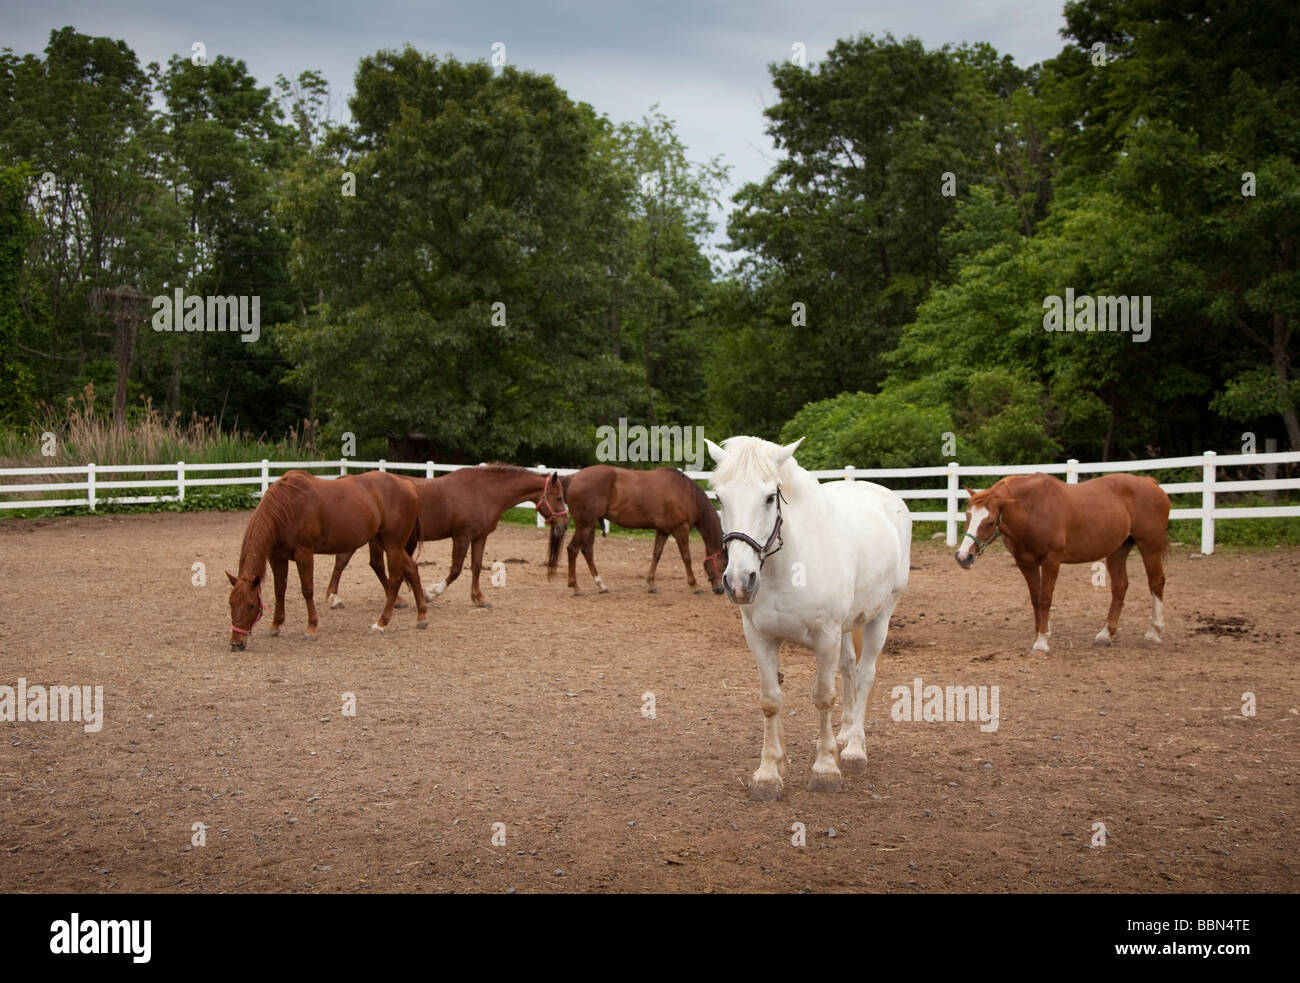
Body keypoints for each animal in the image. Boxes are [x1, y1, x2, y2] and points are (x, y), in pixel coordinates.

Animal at [224, 470, 426, 650]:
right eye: (231, 603)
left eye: (251, 605)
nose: (236, 643)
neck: (287, 506)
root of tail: (408, 486)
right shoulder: (277, 557)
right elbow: (279, 590)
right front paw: (275, 625)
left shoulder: (304, 553)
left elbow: (307, 590)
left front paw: (311, 628)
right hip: (387, 543)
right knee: (412, 569)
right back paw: (422, 616)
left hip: (393, 546)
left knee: (395, 579)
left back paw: (382, 622)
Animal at [325, 465, 569, 611]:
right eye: (558, 498)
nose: (564, 524)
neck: (484, 492)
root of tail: (350, 479)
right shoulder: (461, 536)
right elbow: (456, 570)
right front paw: (432, 593)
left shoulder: (479, 537)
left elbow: (476, 566)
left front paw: (479, 598)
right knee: (364, 563)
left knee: (354, 562)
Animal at [553, 465, 728, 595]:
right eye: (725, 562)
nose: (720, 589)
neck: (685, 493)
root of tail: (573, 477)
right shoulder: (680, 530)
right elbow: (686, 558)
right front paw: (695, 585)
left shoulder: (663, 530)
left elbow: (656, 555)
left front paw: (651, 584)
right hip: (585, 525)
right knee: (573, 550)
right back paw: (575, 587)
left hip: (589, 526)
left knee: (587, 551)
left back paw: (601, 585)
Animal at [707, 436, 909, 800]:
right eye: (719, 497)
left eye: (769, 497)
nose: (740, 582)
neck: (788, 566)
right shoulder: (759, 637)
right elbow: (771, 700)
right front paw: (768, 773)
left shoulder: (825, 636)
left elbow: (823, 697)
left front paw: (825, 769)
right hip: (848, 626)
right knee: (849, 668)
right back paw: (845, 734)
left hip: (882, 615)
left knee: (865, 674)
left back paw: (854, 749)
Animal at [951, 473, 1175, 652]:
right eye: (967, 515)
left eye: (990, 522)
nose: (963, 556)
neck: (1032, 509)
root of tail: (1150, 483)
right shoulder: (1026, 563)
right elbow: (1035, 599)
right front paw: (1037, 636)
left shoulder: (1052, 560)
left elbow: (1045, 598)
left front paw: (1042, 642)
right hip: (1118, 550)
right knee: (1120, 587)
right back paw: (1105, 635)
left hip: (1150, 546)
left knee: (1156, 583)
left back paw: (1153, 634)